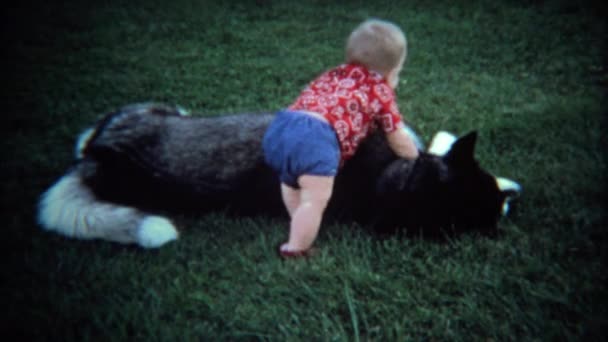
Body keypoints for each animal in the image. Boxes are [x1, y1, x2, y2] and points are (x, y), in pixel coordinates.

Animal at [39, 103, 524, 247]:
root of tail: (94, 159)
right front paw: (508, 183)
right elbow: (437, 138)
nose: (507, 207)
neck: (392, 184)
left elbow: (435, 139)